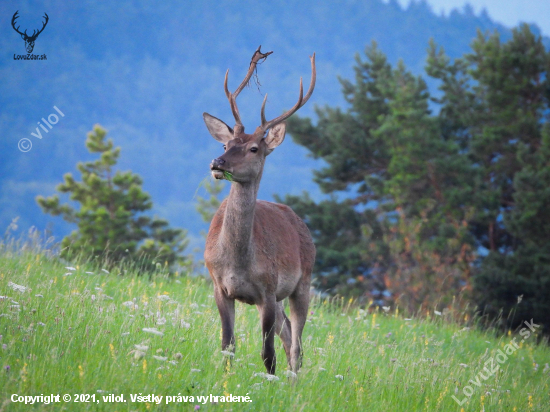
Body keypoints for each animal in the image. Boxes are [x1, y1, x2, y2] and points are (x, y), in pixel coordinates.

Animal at [204, 46, 316, 374]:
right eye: (227, 144)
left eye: (254, 148)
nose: (218, 162)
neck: (238, 262)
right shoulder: (218, 285)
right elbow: (227, 345)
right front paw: (225, 380)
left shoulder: (268, 289)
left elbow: (268, 354)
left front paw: (270, 380)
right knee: (289, 333)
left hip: (302, 282)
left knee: (296, 344)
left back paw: (293, 380)